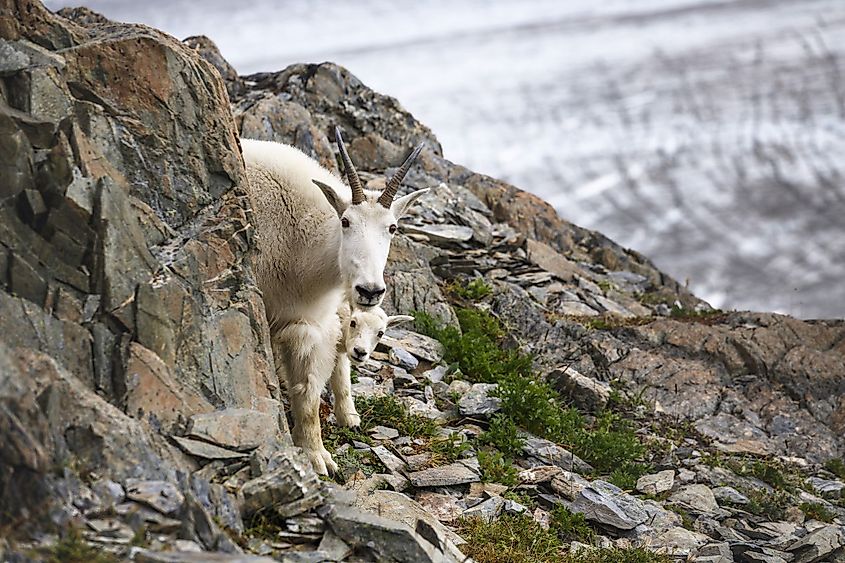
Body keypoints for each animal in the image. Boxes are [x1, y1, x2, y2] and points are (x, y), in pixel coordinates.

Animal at [330, 302, 412, 430]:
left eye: (380, 333)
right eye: (353, 323)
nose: (360, 352)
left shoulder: (337, 353)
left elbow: (343, 384)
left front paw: (349, 418)